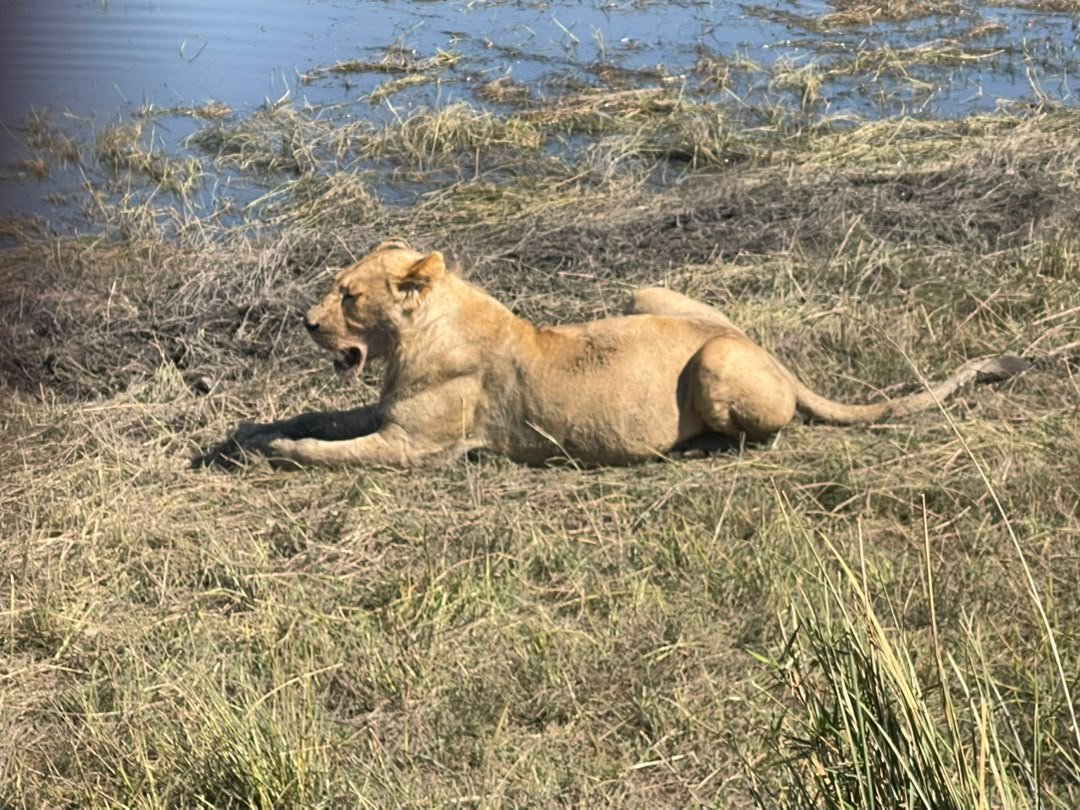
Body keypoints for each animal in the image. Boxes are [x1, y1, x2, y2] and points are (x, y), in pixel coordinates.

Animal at [235, 239, 1027, 468]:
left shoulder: (417, 448)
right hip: (646, 291)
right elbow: (327, 421)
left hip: (714, 364)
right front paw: (258, 434)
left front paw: (274, 451)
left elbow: (329, 451)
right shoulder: (389, 415)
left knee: (765, 432)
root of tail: (770, 353)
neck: (413, 337)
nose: (304, 321)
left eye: (348, 295)